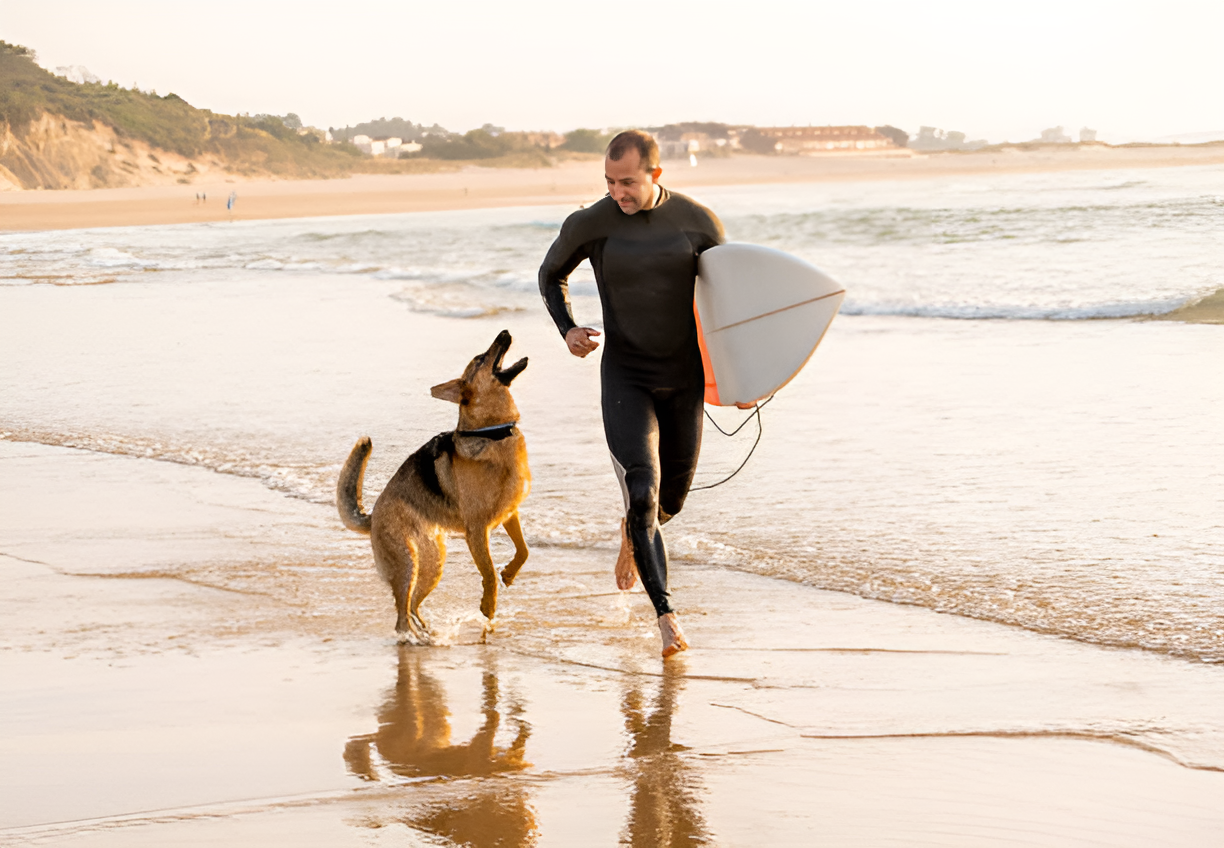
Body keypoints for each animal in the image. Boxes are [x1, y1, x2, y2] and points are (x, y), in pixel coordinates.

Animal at [337, 327, 528, 636]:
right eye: (480, 359)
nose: (505, 331)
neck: (491, 433)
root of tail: (373, 515)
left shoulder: (510, 515)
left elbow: (523, 550)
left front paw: (509, 574)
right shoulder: (477, 531)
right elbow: (488, 571)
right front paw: (488, 606)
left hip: (433, 564)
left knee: (412, 605)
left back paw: (427, 632)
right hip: (407, 564)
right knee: (402, 615)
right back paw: (416, 638)